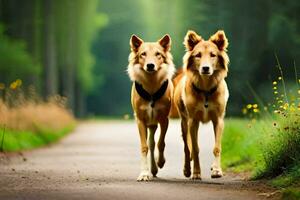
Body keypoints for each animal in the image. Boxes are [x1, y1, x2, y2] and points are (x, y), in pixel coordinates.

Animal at [127, 33, 176, 180]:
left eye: (158, 54)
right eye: (143, 54)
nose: (150, 65)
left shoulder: (164, 119)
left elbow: (161, 143)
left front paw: (161, 162)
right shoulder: (140, 120)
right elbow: (144, 147)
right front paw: (144, 173)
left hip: (154, 123)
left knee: (154, 143)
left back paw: (156, 166)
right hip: (150, 123)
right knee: (150, 144)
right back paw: (152, 169)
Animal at [173, 29, 230, 180]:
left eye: (213, 55)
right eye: (198, 55)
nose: (205, 68)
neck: (205, 90)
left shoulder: (218, 120)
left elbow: (217, 147)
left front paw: (216, 170)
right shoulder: (193, 121)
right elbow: (194, 148)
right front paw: (196, 172)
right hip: (184, 122)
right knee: (186, 148)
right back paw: (187, 169)